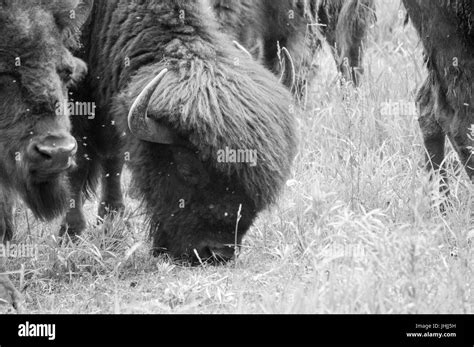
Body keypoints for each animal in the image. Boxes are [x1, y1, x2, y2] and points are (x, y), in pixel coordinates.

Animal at [62, 0, 300, 264]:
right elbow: (76, 163)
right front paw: (70, 235)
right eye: (187, 167)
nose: (216, 253)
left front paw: (112, 225)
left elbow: (113, 162)